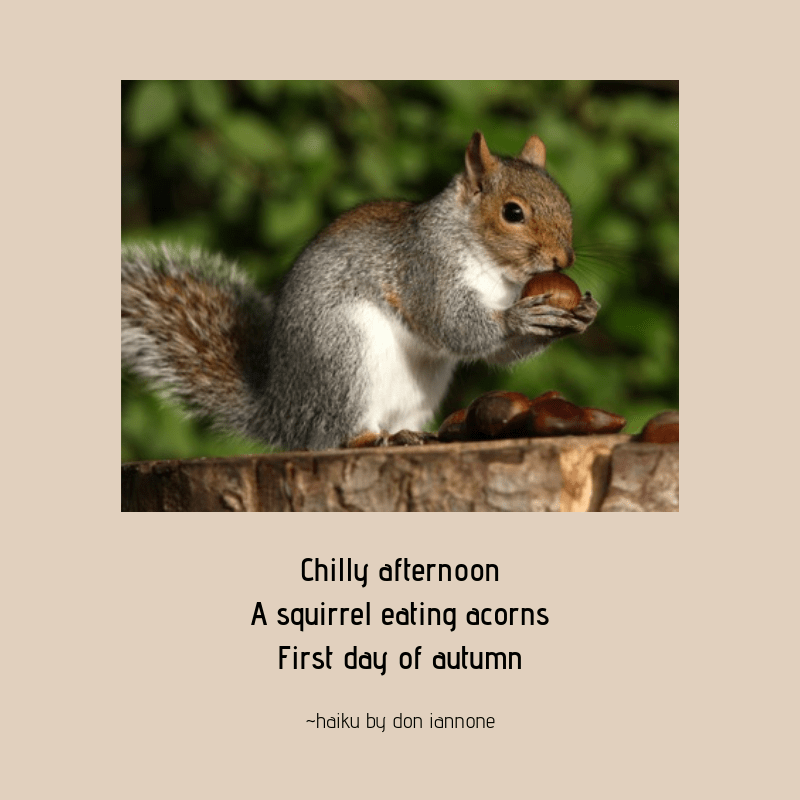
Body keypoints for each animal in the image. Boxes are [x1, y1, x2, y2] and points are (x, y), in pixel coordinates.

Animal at [122, 131, 599, 451]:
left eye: (566, 202)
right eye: (512, 213)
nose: (564, 260)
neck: (496, 270)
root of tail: (283, 414)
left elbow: (500, 352)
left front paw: (582, 315)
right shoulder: (424, 271)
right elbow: (453, 326)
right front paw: (521, 317)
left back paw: (416, 434)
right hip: (344, 355)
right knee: (337, 436)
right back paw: (375, 439)